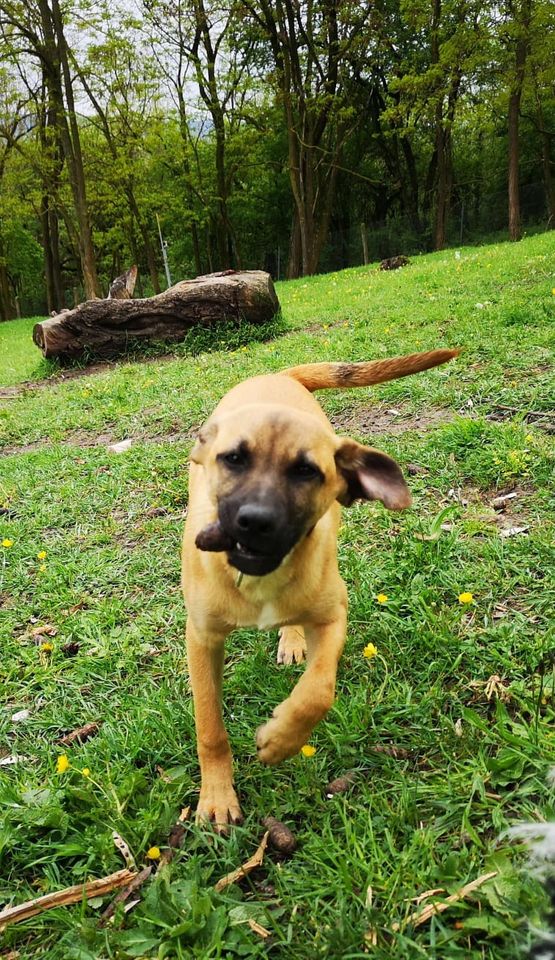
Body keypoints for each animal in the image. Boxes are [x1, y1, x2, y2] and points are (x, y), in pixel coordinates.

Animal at [180, 348, 458, 828]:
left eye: (307, 471)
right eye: (233, 459)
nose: (255, 521)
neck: (259, 581)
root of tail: (278, 375)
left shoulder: (332, 615)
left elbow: (318, 691)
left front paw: (281, 739)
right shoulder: (202, 639)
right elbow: (209, 727)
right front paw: (216, 796)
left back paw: (291, 641)